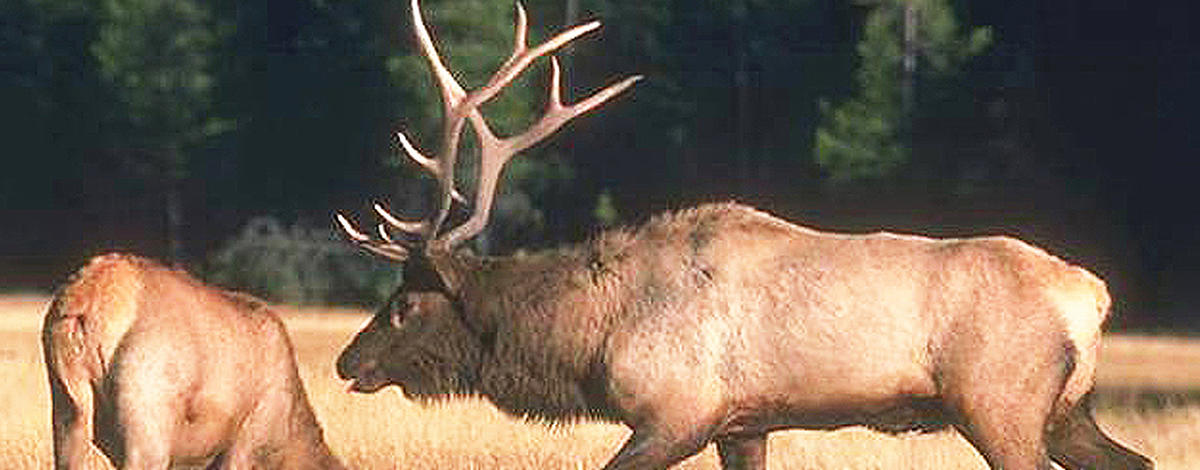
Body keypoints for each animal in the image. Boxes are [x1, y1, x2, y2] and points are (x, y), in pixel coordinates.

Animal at [333, 1, 1156, 467]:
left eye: (405, 305)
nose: (346, 361)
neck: (592, 336)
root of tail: (1092, 294)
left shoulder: (676, 411)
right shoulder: (743, 423)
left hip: (999, 402)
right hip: (1066, 410)